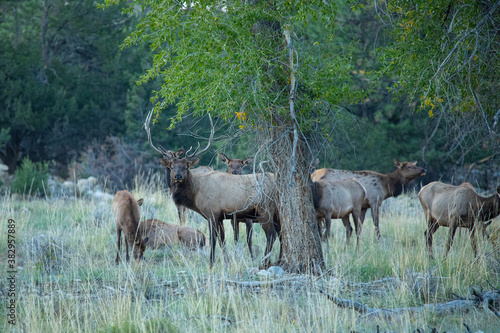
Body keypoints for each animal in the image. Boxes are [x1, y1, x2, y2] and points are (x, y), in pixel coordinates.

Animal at [144, 110, 282, 266]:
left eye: (186, 166)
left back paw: (264, 261)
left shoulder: (212, 213)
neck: (196, 193)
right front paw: (227, 261)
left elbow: (213, 239)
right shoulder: (220, 216)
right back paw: (278, 259)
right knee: (282, 233)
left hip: (265, 209)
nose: (178, 176)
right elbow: (222, 240)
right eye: (172, 167)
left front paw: (211, 262)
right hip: (276, 211)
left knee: (271, 234)